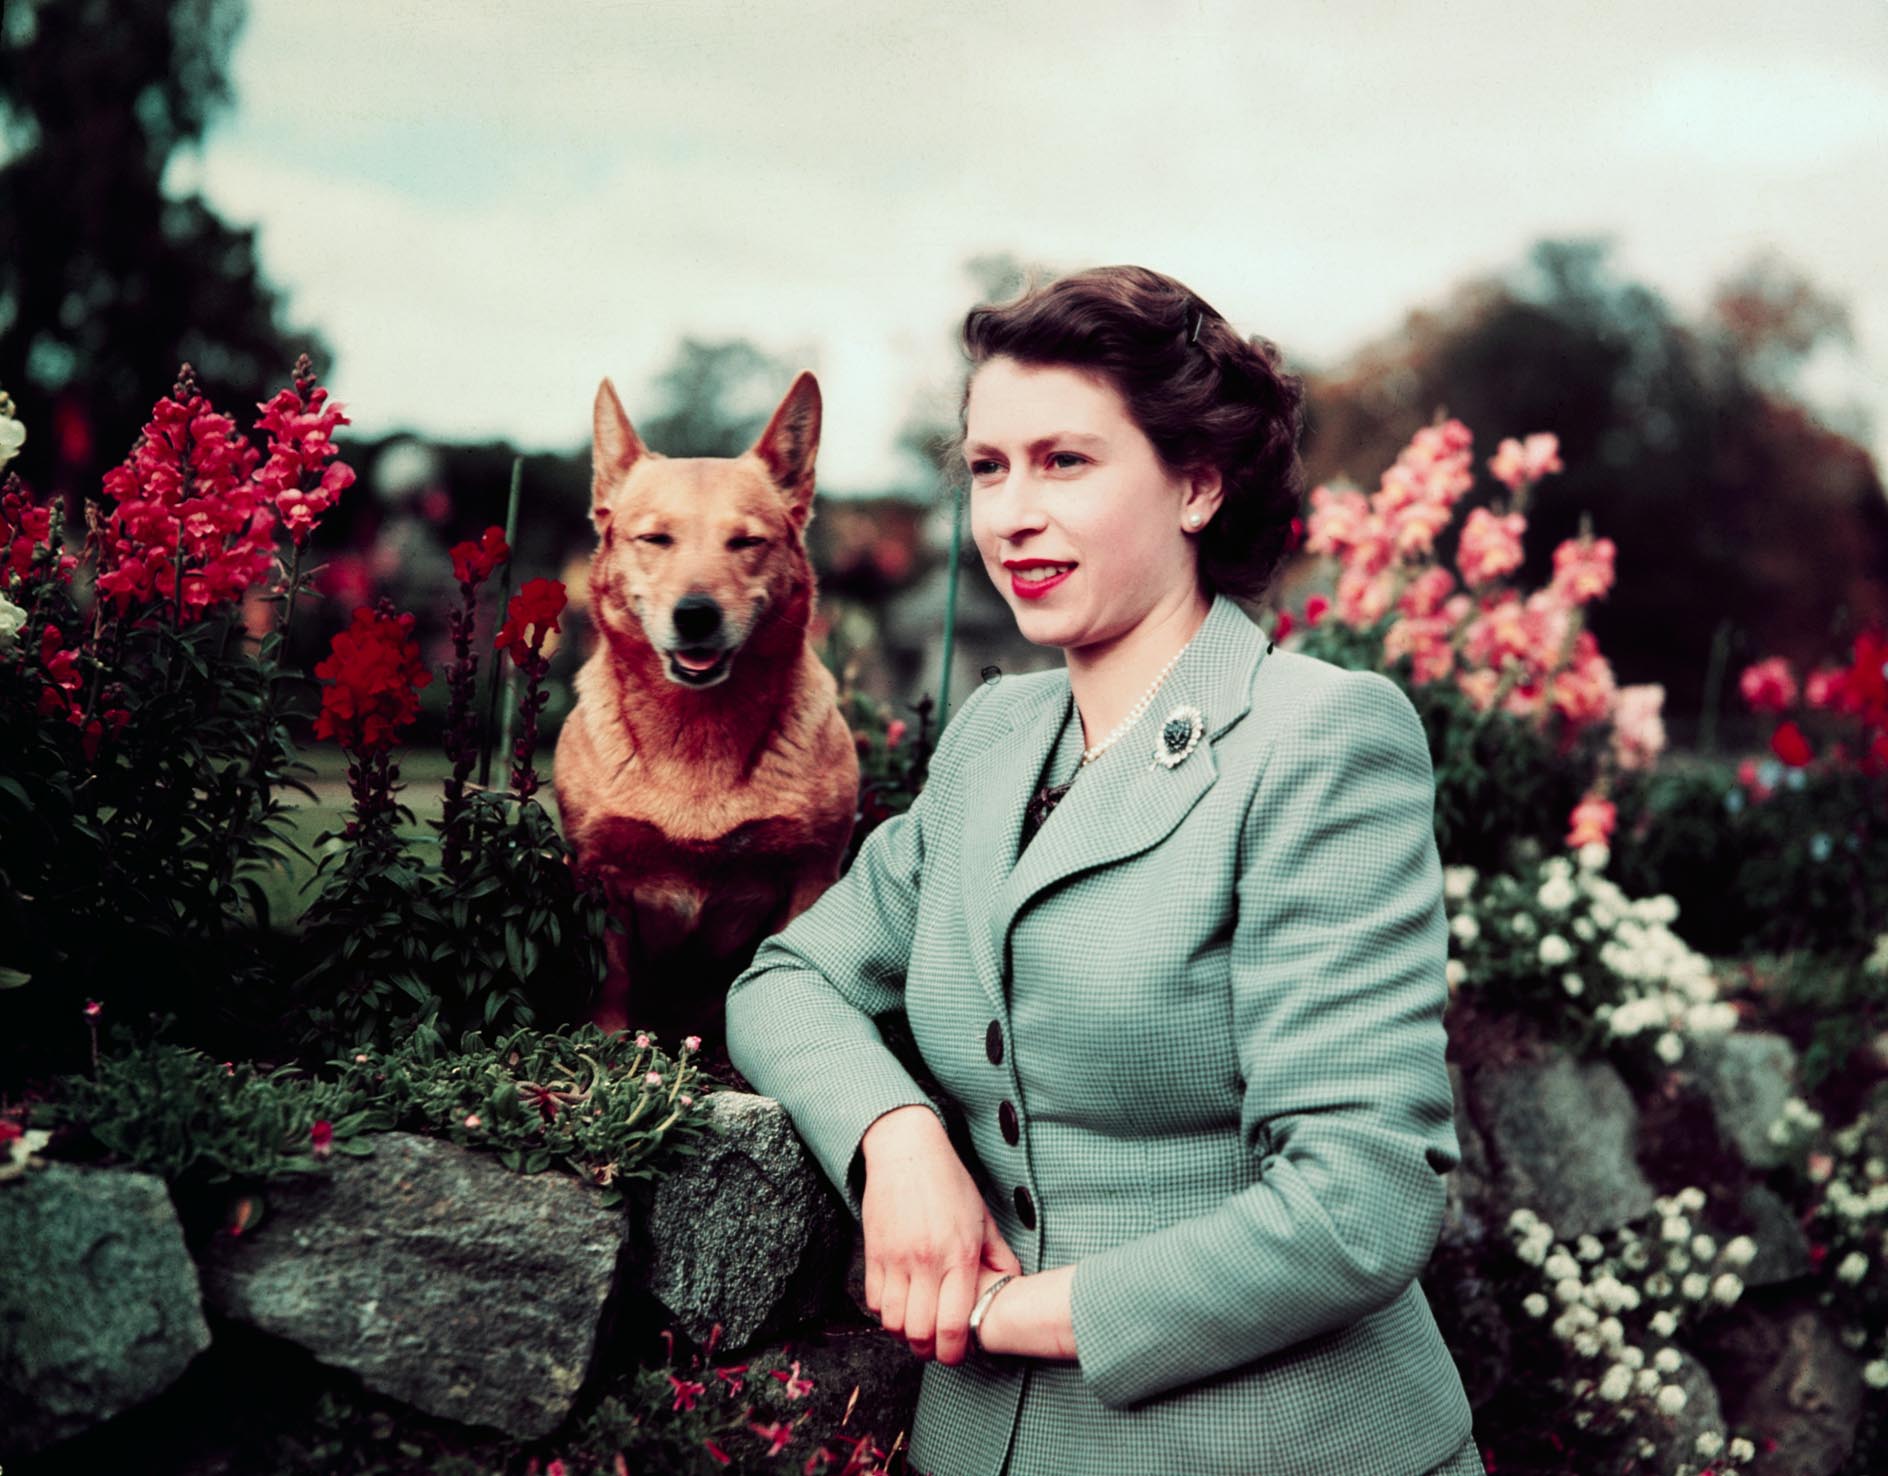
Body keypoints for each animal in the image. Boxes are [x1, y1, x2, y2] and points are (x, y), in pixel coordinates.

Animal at [551, 373, 864, 1049]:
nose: (696, 615)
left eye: (746, 542)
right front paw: (608, 1050)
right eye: (654, 539)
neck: (698, 733)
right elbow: (612, 980)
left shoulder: (811, 874)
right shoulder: (600, 874)